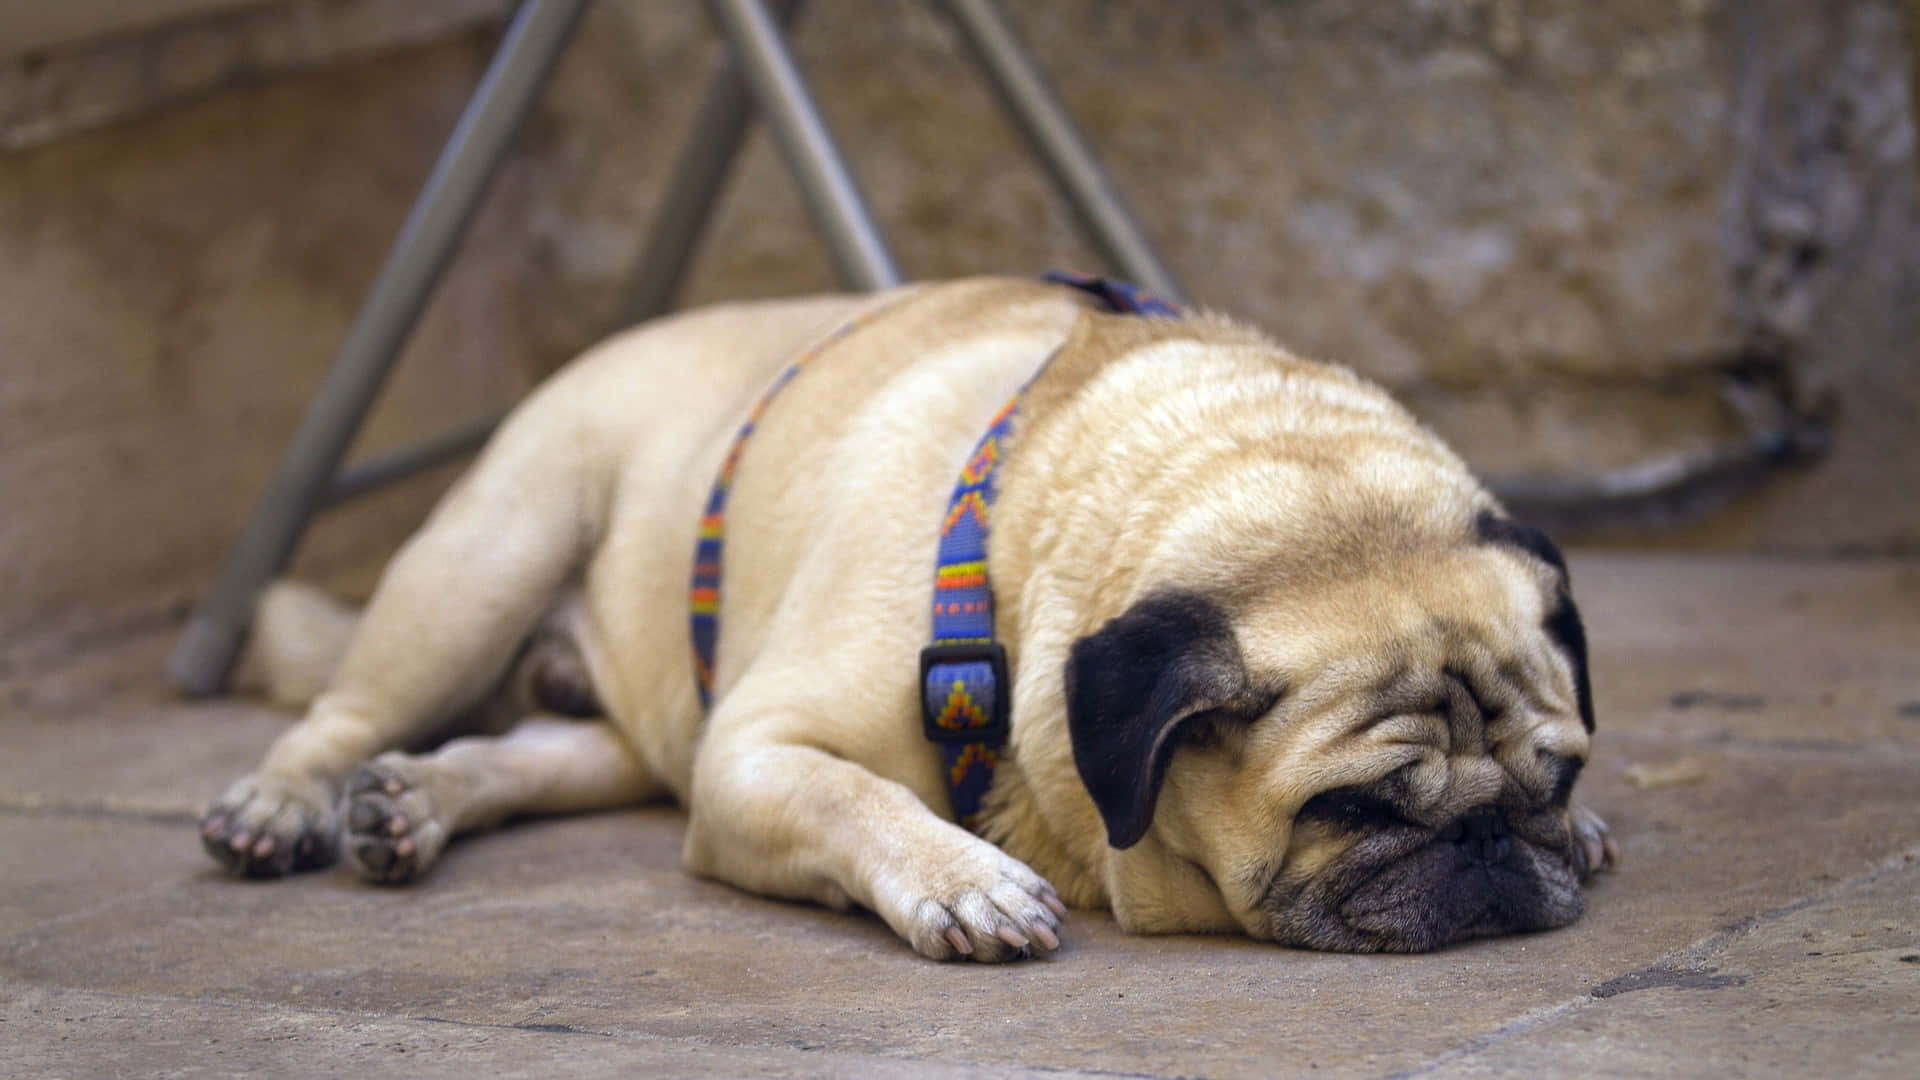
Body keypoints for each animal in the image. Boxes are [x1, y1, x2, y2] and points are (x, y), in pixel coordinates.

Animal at [202, 272, 1612, 953]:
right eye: (1353, 810)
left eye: (1553, 777)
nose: (1494, 840)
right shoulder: (756, 755)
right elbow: (858, 797)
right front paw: (963, 883)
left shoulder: (719, 753)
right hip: (487, 562)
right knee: (342, 714)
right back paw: (287, 804)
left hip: (635, 725)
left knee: (532, 755)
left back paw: (414, 804)